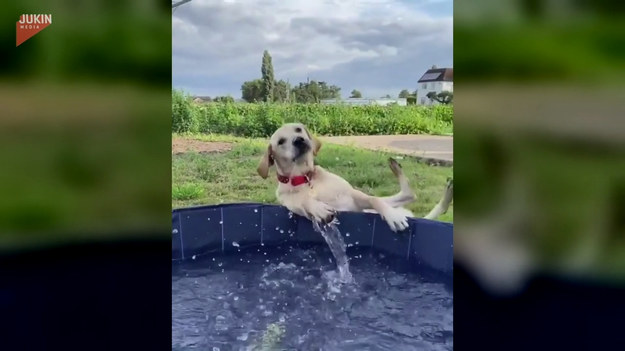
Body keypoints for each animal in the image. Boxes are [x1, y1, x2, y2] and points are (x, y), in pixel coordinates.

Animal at [256, 122, 450, 232]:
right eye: (281, 142)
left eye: (298, 129)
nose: (299, 140)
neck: (306, 178)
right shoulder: (290, 204)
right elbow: (303, 202)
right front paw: (318, 208)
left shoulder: (354, 198)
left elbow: (374, 199)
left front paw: (391, 217)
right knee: (411, 196)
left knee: (407, 195)